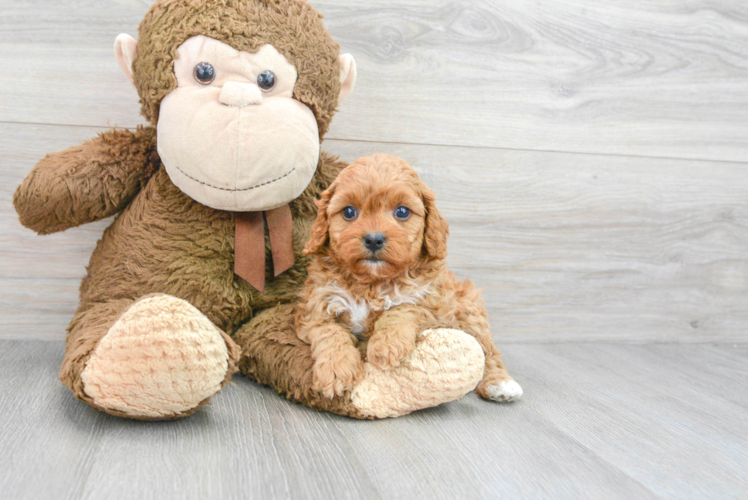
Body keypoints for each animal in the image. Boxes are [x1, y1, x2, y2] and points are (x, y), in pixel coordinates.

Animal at [296, 154, 524, 404]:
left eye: (402, 212)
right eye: (348, 212)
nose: (374, 239)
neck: (372, 282)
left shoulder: (428, 300)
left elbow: (401, 309)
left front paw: (386, 346)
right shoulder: (317, 304)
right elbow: (329, 332)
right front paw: (336, 370)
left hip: (469, 310)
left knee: (488, 352)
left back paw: (500, 384)